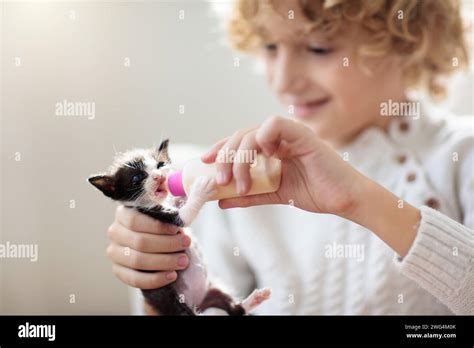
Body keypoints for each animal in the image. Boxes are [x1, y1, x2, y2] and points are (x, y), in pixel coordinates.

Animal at [88, 139, 270, 316]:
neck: (160, 202)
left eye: (160, 164)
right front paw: (200, 188)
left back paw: (253, 300)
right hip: (174, 305)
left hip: (216, 290)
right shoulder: (156, 214)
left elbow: (180, 199)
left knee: (235, 309)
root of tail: (199, 303)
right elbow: (185, 215)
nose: (158, 176)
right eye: (137, 178)